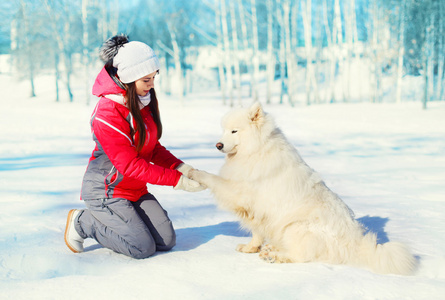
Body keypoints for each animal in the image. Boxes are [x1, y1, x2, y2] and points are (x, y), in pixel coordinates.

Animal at [191, 102, 416, 274]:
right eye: (223, 130)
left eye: (234, 131)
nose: (218, 145)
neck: (256, 150)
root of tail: (354, 244)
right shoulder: (258, 210)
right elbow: (256, 232)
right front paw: (250, 247)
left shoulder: (240, 193)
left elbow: (213, 179)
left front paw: (194, 173)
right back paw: (271, 248)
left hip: (295, 227)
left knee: (300, 256)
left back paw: (275, 256)